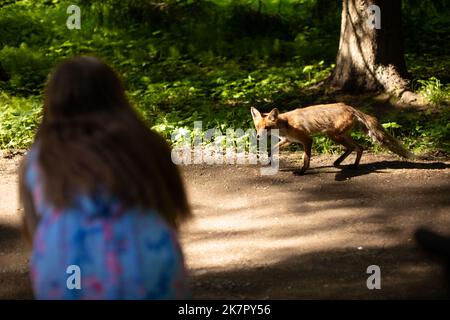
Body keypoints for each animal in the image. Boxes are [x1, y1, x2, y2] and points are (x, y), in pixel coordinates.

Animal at [250, 102, 414, 175]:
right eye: (257, 127)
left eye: (267, 128)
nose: (257, 136)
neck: (285, 124)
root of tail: (350, 107)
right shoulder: (287, 140)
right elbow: (271, 150)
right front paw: (268, 161)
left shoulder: (307, 140)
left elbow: (306, 158)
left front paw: (302, 171)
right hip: (339, 135)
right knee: (358, 147)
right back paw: (346, 164)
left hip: (333, 135)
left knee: (355, 147)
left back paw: (345, 164)